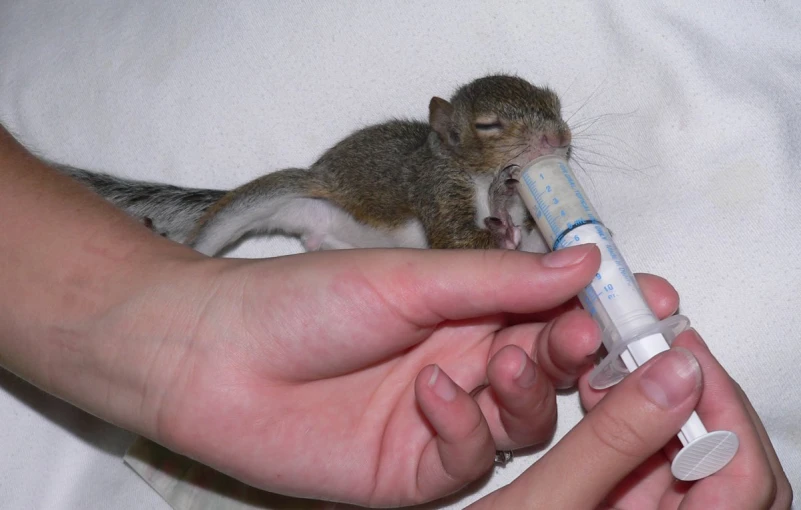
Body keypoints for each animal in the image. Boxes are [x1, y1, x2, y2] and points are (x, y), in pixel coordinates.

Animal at [53, 74, 572, 255]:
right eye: (488, 125)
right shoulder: (437, 186)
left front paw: (508, 208)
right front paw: (499, 210)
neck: (475, 174)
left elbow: (527, 238)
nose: (559, 138)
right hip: (274, 195)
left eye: (555, 103)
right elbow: (455, 237)